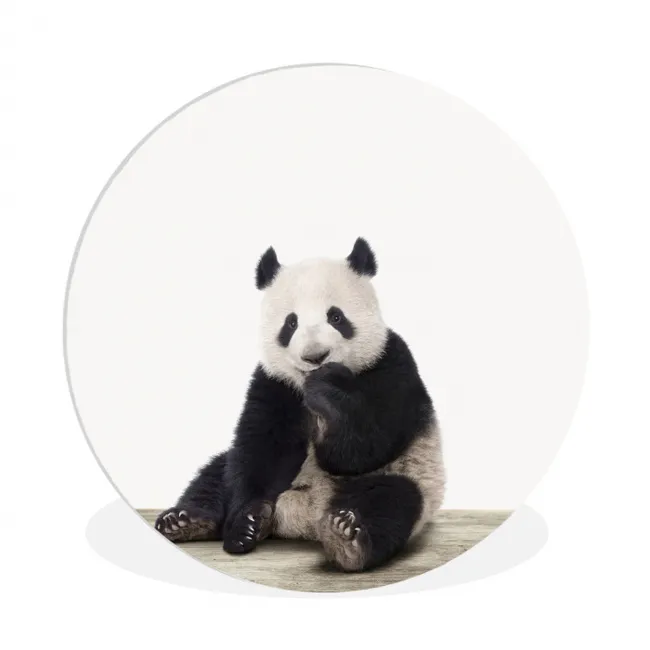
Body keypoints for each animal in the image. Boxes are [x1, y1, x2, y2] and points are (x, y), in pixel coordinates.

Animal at [155, 237, 445, 572]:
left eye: (336, 317)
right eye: (290, 323)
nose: (315, 356)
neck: (305, 386)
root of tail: (304, 518)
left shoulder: (391, 364)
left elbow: (364, 446)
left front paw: (329, 391)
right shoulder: (275, 383)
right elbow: (263, 449)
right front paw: (245, 524)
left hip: (409, 477)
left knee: (391, 501)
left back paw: (346, 538)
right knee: (216, 474)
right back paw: (188, 521)